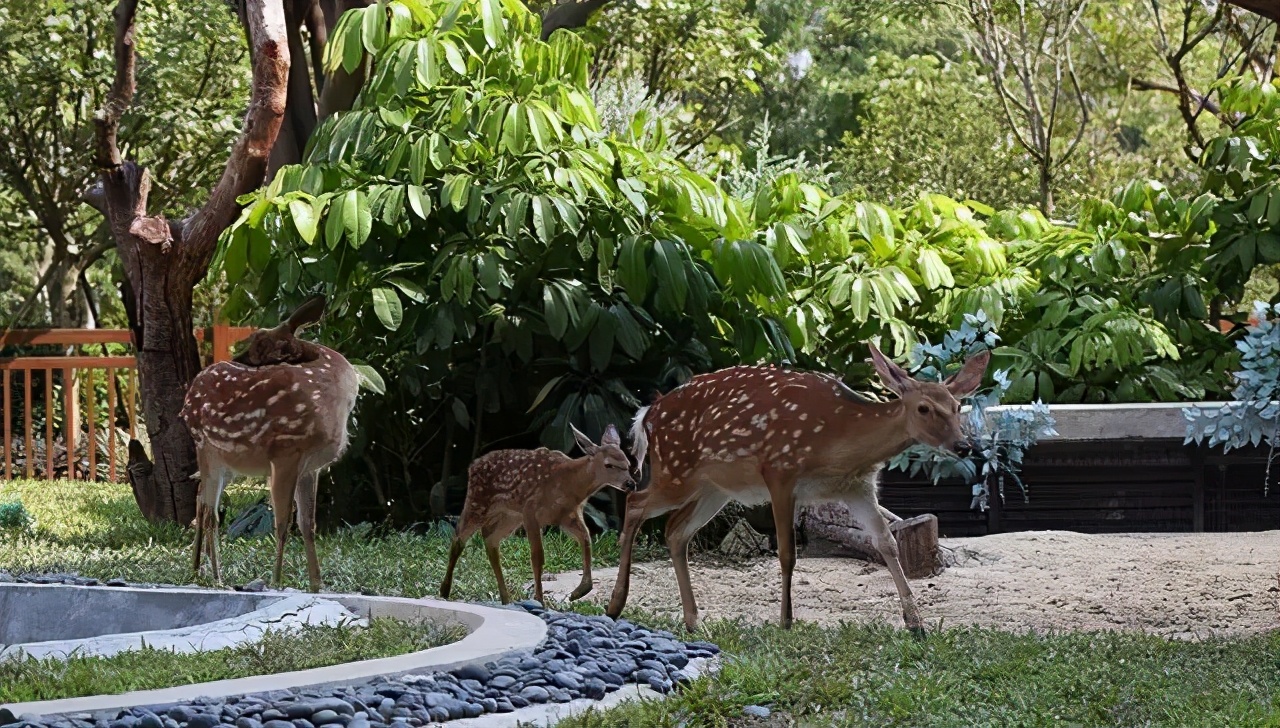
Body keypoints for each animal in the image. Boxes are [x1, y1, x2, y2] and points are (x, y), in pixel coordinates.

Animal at [177, 295, 358, 591]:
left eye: (260, 340)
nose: (236, 359)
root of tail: (187, 400)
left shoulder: (311, 466)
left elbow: (307, 524)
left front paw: (316, 584)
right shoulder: (285, 451)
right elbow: (282, 522)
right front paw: (276, 580)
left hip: (227, 461)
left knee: (202, 501)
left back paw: (199, 569)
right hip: (207, 448)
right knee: (211, 512)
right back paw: (215, 575)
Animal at [442, 419, 637, 601]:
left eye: (628, 464)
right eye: (608, 465)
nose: (631, 484)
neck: (569, 484)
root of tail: (472, 466)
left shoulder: (568, 515)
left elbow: (586, 539)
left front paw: (580, 591)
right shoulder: (531, 510)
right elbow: (537, 557)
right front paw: (539, 600)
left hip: (510, 516)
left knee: (490, 539)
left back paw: (505, 598)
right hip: (478, 500)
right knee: (458, 538)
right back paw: (444, 591)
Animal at [606, 342, 988, 632]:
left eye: (957, 406)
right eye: (924, 408)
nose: (963, 446)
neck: (839, 441)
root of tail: (648, 412)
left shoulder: (857, 486)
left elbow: (888, 544)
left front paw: (916, 624)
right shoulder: (779, 471)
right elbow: (788, 553)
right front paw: (786, 621)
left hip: (715, 488)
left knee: (675, 530)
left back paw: (692, 620)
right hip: (675, 470)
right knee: (636, 502)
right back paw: (614, 604)